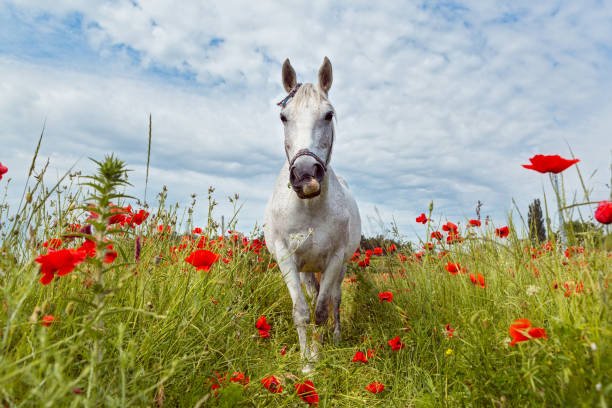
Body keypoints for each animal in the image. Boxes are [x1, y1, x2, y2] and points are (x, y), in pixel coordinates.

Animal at [264, 57, 360, 370]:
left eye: (329, 115)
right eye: (284, 117)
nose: (306, 176)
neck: (308, 208)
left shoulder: (335, 259)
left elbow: (321, 311)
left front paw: (320, 356)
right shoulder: (286, 257)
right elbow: (302, 312)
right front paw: (307, 362)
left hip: (340, 268)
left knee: (335, 300)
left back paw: (336, 337)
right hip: (307, 269)